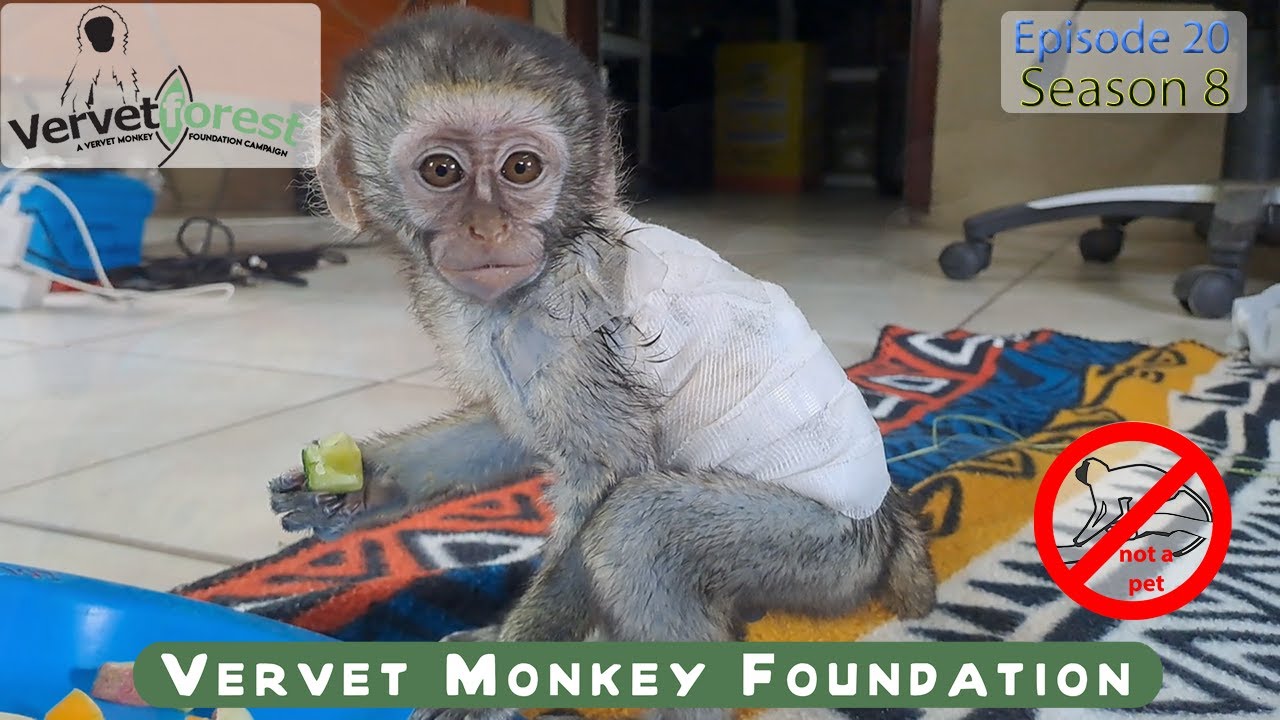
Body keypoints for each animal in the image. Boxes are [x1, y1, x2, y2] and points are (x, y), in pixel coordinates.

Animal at [268, 7, 937, 720]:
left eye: (522, 167)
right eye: (442, 171)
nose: (488, 228)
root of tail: (886, 520)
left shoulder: (570, 326)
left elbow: (607, 483)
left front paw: (503, 675)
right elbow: (515, 429)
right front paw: (362, 485)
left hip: (820, 553)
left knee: (634, 527)